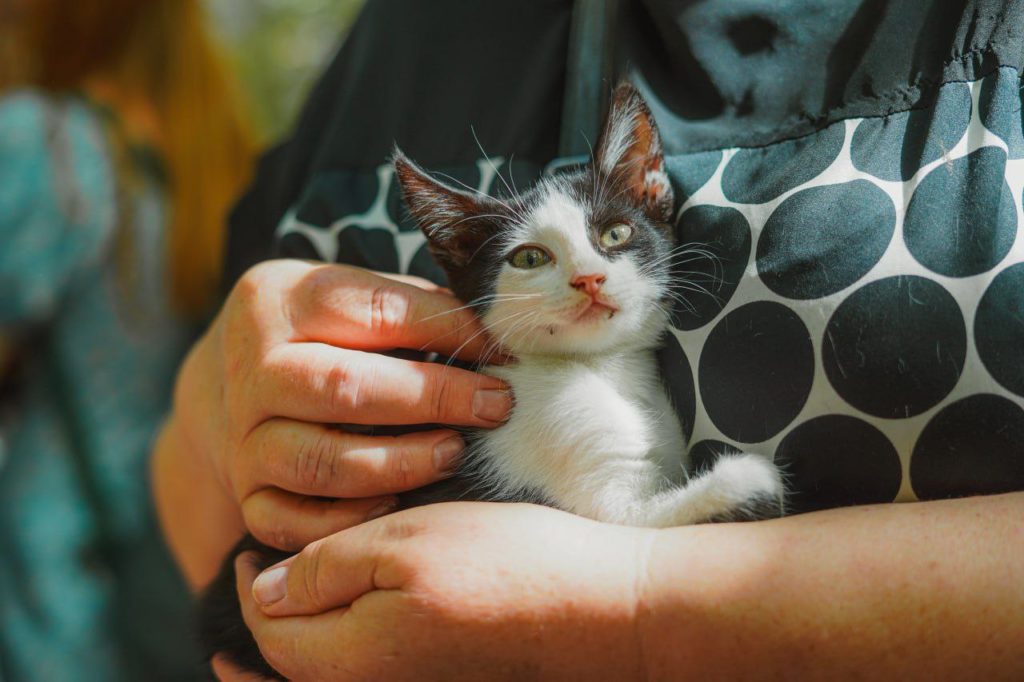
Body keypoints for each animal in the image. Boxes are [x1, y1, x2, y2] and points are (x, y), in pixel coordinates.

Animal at [199, 83, 782, 675]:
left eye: (616, 232)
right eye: (529, 258)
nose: (589, 279)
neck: (600, 368)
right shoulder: (582, 482)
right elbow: (634, 522)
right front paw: (743, 481)